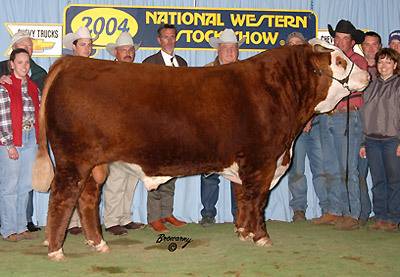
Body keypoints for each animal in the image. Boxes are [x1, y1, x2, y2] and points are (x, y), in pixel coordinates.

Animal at [32, 38, 368, 258]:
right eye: (340, 61)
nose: (367, 74)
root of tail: (72, 61)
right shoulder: (262, 160)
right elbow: (257, 201)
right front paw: (260, 237)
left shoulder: (247, 163)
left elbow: (243, 199)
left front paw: (243, 233)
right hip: (73, 160)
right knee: (61, 198)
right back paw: (56, 250)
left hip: (93, 165)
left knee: (87, 199)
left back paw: (97, 243)